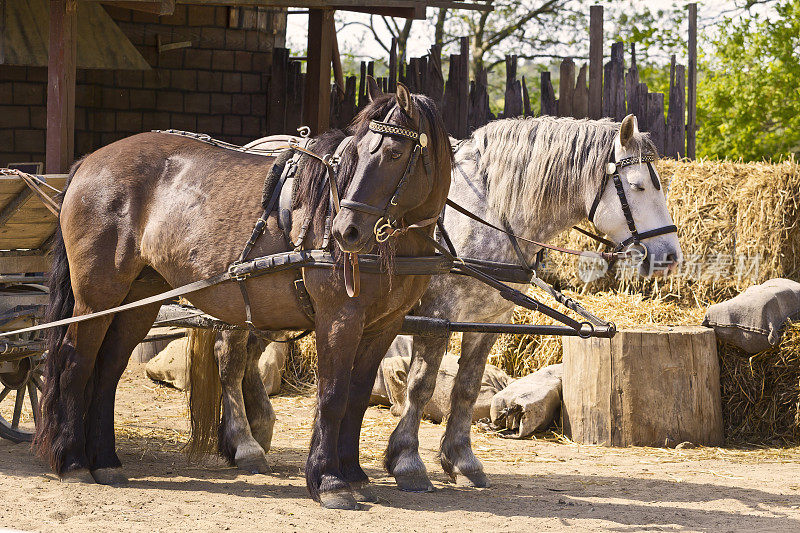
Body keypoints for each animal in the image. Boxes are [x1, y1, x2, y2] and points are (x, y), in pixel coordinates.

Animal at [36, 82, 450, 508]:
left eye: (395, 153)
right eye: (357, 152)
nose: (345, 231)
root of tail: (89, 162)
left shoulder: (383, 326)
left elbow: (356, 396)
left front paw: (352, 474)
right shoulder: (339, 318)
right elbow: (332, 397)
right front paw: (329, 481)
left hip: (138, 299)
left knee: (108, 370)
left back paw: (105, 462)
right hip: (96, 296)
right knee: (75, 362)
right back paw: (74, 462)